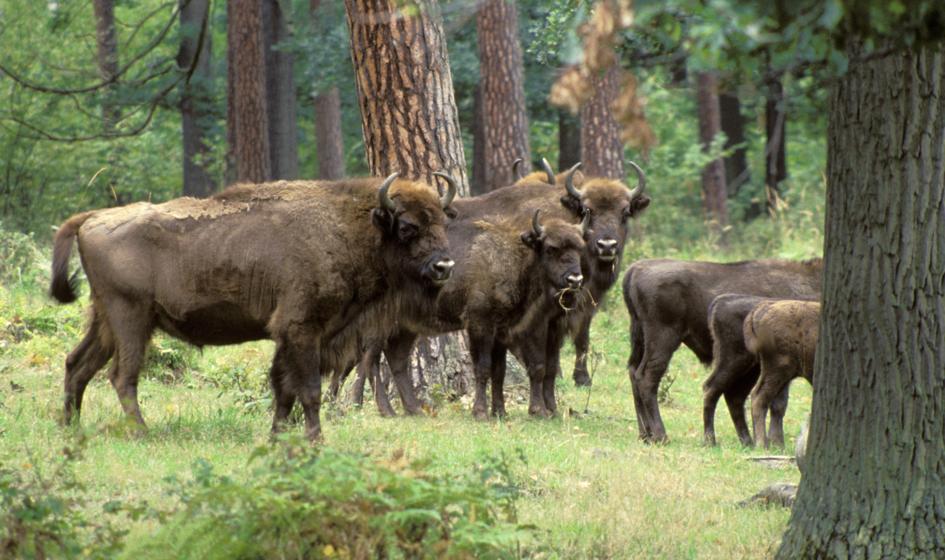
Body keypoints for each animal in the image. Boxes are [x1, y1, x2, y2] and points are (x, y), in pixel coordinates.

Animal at [50, 174, 456, 441]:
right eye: (407, 227)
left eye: (441, 221)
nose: (444, 266)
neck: (347, 225)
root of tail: (91, 218)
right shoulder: (301, 328)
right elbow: (307, 388)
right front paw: (314, 439)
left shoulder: (294, 335)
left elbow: (283, 387)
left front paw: (278, 436)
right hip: (131, 318)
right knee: (122, 376)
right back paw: (141, 432)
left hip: (105, 320)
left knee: (77, 364)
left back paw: (70, 427)